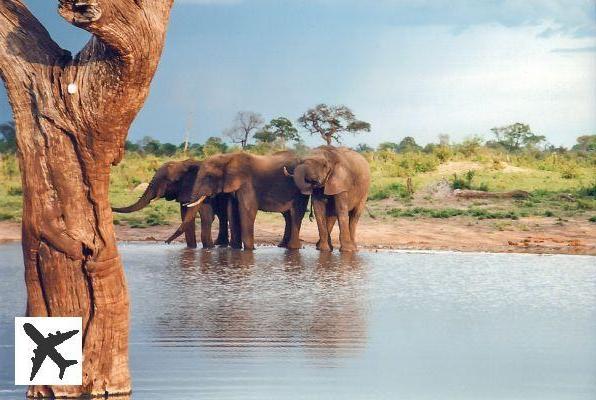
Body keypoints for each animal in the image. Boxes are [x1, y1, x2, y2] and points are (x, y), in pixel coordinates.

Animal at [168, 151, 308, 250]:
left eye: (208, 177)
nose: (166, 242)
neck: (228, 158)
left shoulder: (246, 183)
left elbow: (247, 210)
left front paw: (250, 250)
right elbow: (232, 211)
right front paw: (235, 249)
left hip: (300, 190)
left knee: (295, 214)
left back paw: (293, 248)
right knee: (288, 216)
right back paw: (284, 247)